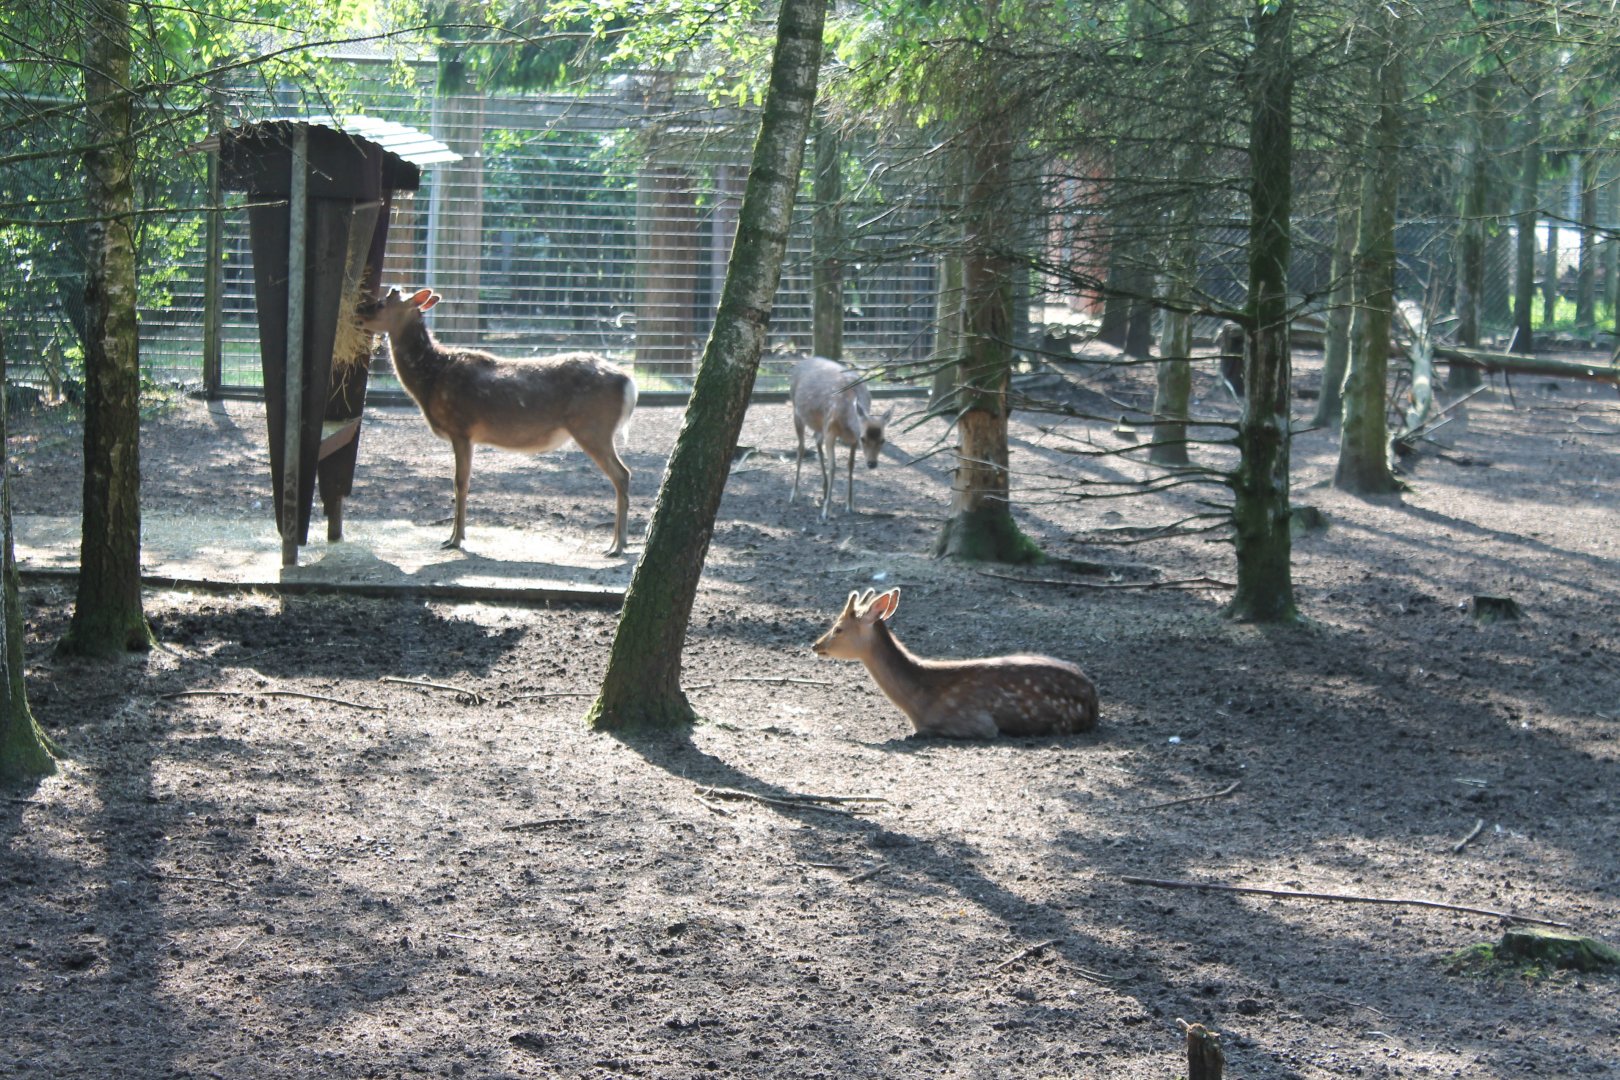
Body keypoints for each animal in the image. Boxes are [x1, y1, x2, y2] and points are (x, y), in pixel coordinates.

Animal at [356, 287, 638, 556]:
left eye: (381, 303)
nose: (358, 312)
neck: (431, 381)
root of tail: (629, 384)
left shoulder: (460, 428)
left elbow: (460, 482)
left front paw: (455, 540)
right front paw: (455, 536)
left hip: (593, 428)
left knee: (622, 474)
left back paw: (617, 546)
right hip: (595, 430)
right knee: (621, 474)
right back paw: (617, 543)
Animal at [788, 355, 894, 521]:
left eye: (883, 440)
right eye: (863, 438)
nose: (872, 463)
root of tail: (801, 362)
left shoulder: (851, 438)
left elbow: (851, 465)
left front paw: (850, 505)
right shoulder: (831, 431)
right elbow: (833, 466)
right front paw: (826, 511)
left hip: (819, 424)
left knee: (816, 439)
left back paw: (824, 490)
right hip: (796, 411)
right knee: (801, 448)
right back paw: (794, 495)